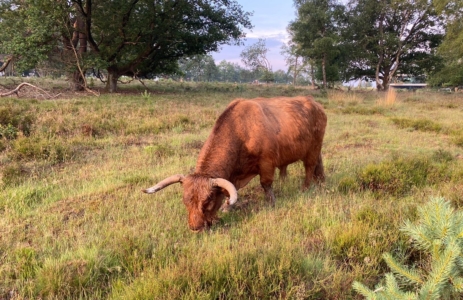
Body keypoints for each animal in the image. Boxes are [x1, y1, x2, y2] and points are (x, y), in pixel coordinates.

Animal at [143, 96, 328, 232]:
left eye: (208, 200)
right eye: (185, 200)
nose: (196, 228)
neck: (241, 130)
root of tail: (315, 103)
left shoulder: (267, 163)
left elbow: (266, 184)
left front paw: (271, 203)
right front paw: (226, 207)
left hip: (313, 148)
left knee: (309, 168)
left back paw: (306, 188)